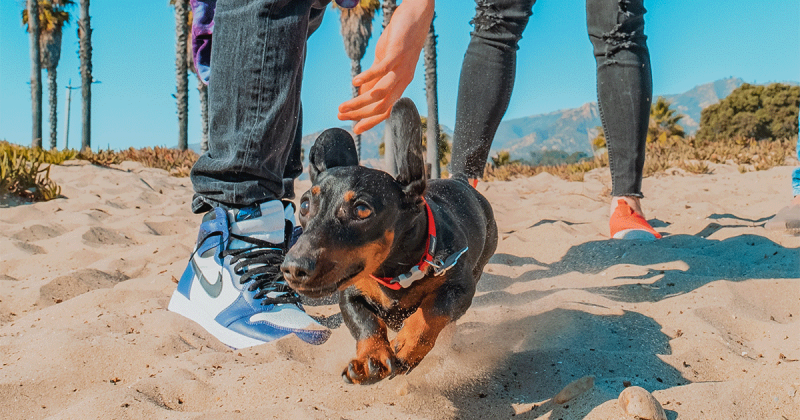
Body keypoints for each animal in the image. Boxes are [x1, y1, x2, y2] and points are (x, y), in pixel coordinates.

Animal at [280, 97, 494, 384]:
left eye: (362, 209)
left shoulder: (459, 287)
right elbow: (366, 325)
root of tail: (461, 181)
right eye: (304, 205)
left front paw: (406, 345)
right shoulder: (349, 294)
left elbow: (432, 310)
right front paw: (370, 359)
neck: (394, 273)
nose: (293, 269)